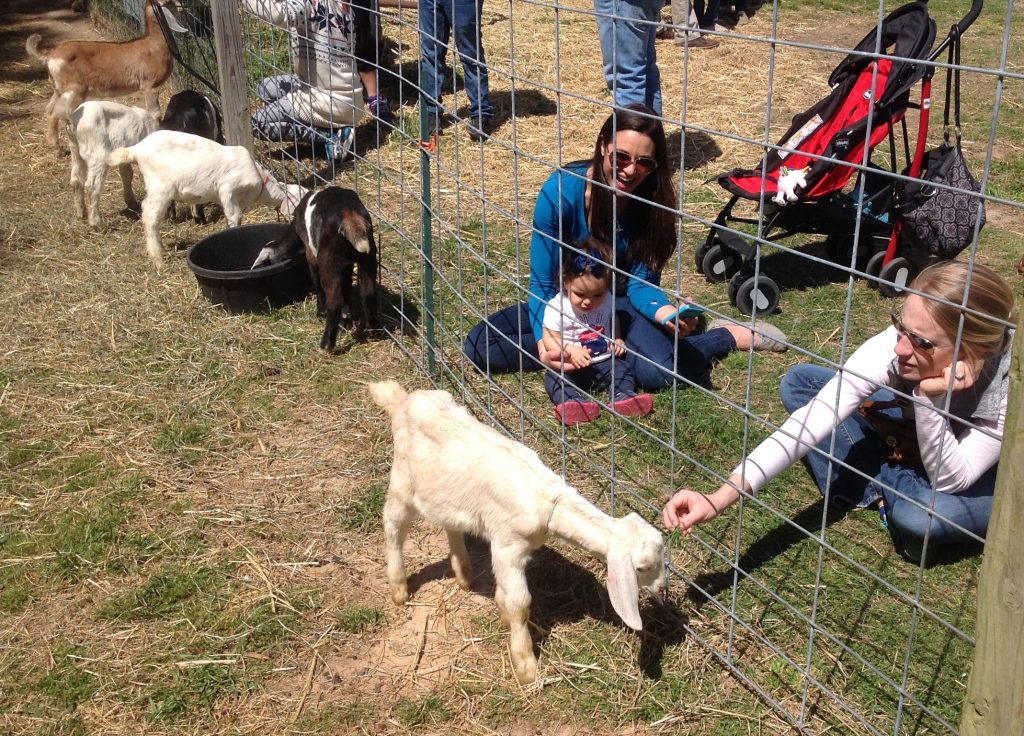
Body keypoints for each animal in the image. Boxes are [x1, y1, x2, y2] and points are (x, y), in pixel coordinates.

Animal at [24, 0, 185, 149]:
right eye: (170, 2)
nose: (182, 9)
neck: (153, 44)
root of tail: (50, 56)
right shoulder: (150, 85)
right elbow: (154, 113)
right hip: (74, 89)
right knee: (56, 112)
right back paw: (56, 148)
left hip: (59, 89)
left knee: (49, 108)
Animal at [110, 131, 307, 268]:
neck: (261, 184)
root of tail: (137, 149)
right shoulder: (228, 189)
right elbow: (234, 217)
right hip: (160, 186)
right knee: (150, 216)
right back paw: (158, 259)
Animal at [253, 188, 382, 352]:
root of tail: (350, 216)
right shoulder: (346, 265)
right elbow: (346, 287)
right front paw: (346, 320)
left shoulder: (311, 253)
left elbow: (316, 282)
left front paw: (321, 313)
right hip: (368, 257)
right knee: (368, 293)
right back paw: (374, 331)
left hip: (328, 259)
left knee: (334, 301)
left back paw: (326, 344)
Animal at [368, 382, 663, 687]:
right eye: (642, 567)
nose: (662, 588)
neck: (547, 499)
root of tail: (403, 400)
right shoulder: (507, 548)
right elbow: (520, 603)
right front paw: (525, 665)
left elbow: (506, 596)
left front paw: (504, 616)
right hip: (403, 483)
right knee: (392, 527)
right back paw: (399, 587)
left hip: (447, 492)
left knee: (451, 525)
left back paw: (463, 573)